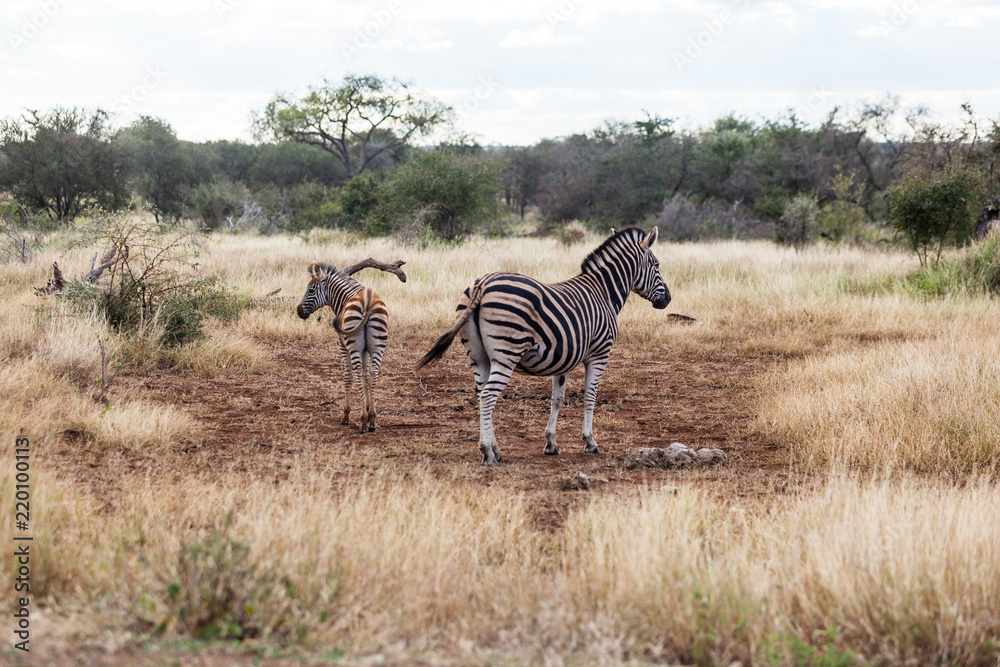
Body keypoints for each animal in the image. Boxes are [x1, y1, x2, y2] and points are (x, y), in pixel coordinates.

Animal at [297, 262, 388, 433]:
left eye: (311, 290)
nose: (298, 311)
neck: (344, 299)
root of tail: (367, 301)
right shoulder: (365, 350)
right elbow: (367, 376)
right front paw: (367, 409)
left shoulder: (343, 345)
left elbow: (348, 376)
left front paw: (346, 414)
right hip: (378, 345)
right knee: (373, 375)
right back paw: (372, 420)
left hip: (352, 345)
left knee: (357, 375)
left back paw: (363, 422)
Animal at [416, 227, 670, 465]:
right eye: (657, 264)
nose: (667, 300)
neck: (604, 293)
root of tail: (482, 284)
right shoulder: (599, 353)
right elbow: (590, 396)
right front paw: (590, 442)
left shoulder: (565, 357)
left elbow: (557, 399)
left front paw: (551, 443)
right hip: (506, 352)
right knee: (488, 396)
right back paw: (488, 452)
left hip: (478, 357)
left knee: (481, 395)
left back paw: (496, 450)